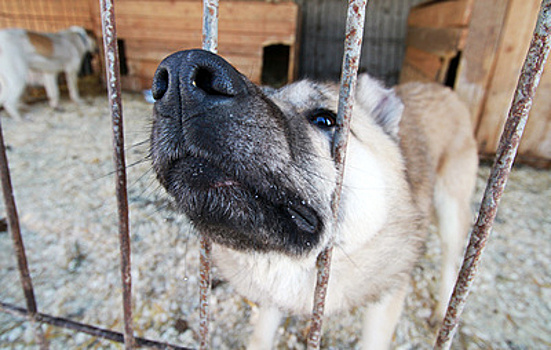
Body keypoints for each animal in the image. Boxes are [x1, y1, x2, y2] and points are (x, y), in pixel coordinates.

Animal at [148, 50, 478, 350]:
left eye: (325, 119)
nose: (180, 73)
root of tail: (444, 89)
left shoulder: (385, 300)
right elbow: (262, 335)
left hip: (451, 211)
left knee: (452, 260)